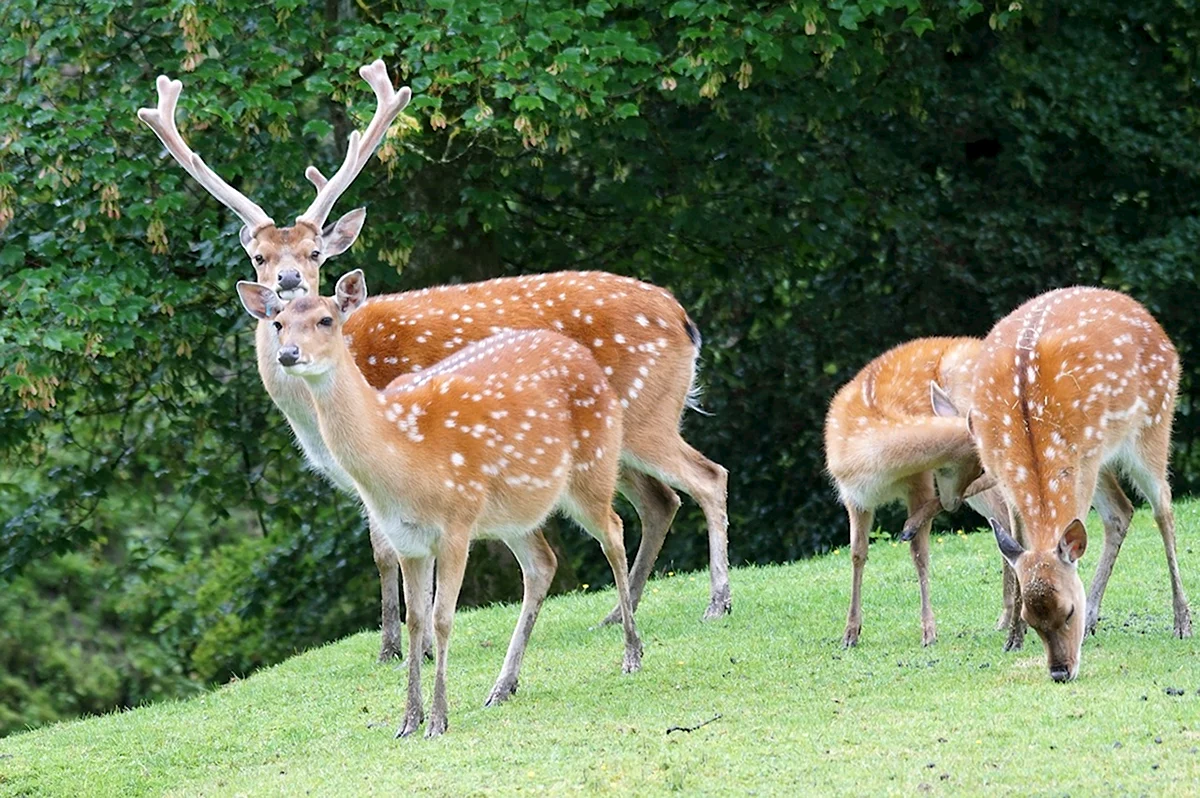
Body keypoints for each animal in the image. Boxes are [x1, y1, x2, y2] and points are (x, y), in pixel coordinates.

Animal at [135, 63, 724, 667]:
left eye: (315, 253)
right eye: (260, 256)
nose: (289, 281)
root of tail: (684, 319)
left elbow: (389, 549)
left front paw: (399, 648)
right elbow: (386, 548)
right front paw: (394, 645)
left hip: (646, 412)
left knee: (707, 477)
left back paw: (715, 602)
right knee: (660, 500)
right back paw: (613, 615)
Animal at [237, 271, 643, 739]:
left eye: (326, 319)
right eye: (279, 323)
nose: (288, 354)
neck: (401, 455)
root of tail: (585, 359)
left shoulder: (456, 524)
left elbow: (442, 618)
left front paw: (438, 719)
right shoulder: (407, 540)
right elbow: (415, 621)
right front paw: (407, 720)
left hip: (593, 468)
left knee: (614, 530)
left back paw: (632, 653)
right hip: (514, 513)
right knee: (543, 564)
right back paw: (502, 687)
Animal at [820, 336, 1008, 648]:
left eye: (976, 469)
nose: (953, 503)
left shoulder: (920, 481)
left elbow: (920, 554)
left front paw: (929, 631)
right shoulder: (853, 496)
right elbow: (857, 554)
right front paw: (850, 633)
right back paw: (1006, 619)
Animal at [964, 286, 1190, 676]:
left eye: (1069, 610)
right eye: (1034, 619)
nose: (1060, 671)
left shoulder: (1082, 459)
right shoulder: (1003, 474)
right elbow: (1018, 543)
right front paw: (1013, 638)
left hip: (1154, 422)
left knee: (1163, 508)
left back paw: (1182, 621)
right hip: (1102, 457)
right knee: (1122, 511)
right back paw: (1096, 620)